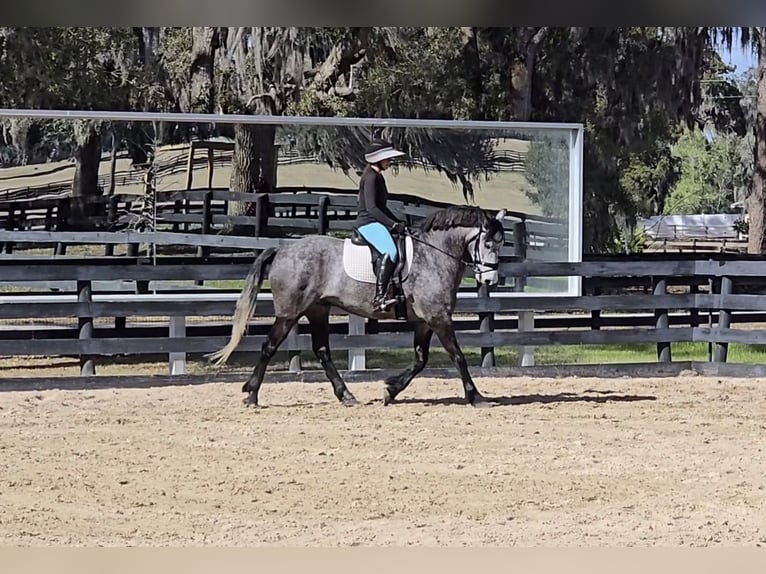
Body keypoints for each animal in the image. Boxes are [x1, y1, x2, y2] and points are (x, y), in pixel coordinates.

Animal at [206, 205, 507, 408]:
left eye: (501, 243)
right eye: (487, 242)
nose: (490, 279)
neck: (433, 255)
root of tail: (282, 249)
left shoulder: (425, 321)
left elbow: (420, 360)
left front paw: (391, 390)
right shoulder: (438, 317)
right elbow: (457, 356)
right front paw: (476, 396)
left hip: (317, 310)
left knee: (322, 350)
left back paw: (346, 395)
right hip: (289, 313)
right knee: (269, 347)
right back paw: (252, 395)